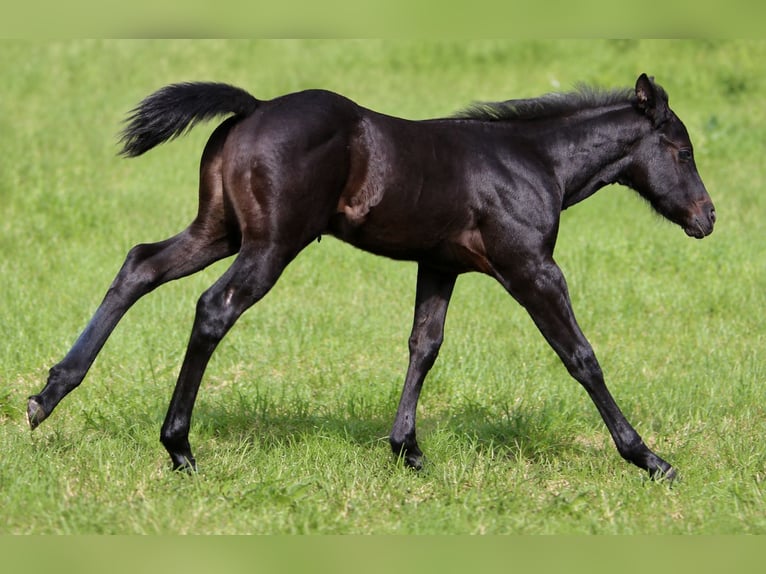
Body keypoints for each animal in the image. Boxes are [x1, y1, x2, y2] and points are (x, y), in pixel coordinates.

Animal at [27, 73, 715, 480]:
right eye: (682, 151)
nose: (707, 218)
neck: (533, 162)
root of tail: (254, 108)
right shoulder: (531, 269)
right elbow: (580, 355)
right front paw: (649, 458)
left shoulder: (439, 266)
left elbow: (424, 345)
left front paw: (407, 449)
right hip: (271, 245)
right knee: (213, 308)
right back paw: (178, 446)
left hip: (218, 231)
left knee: (140, 264)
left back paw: (47, 394)